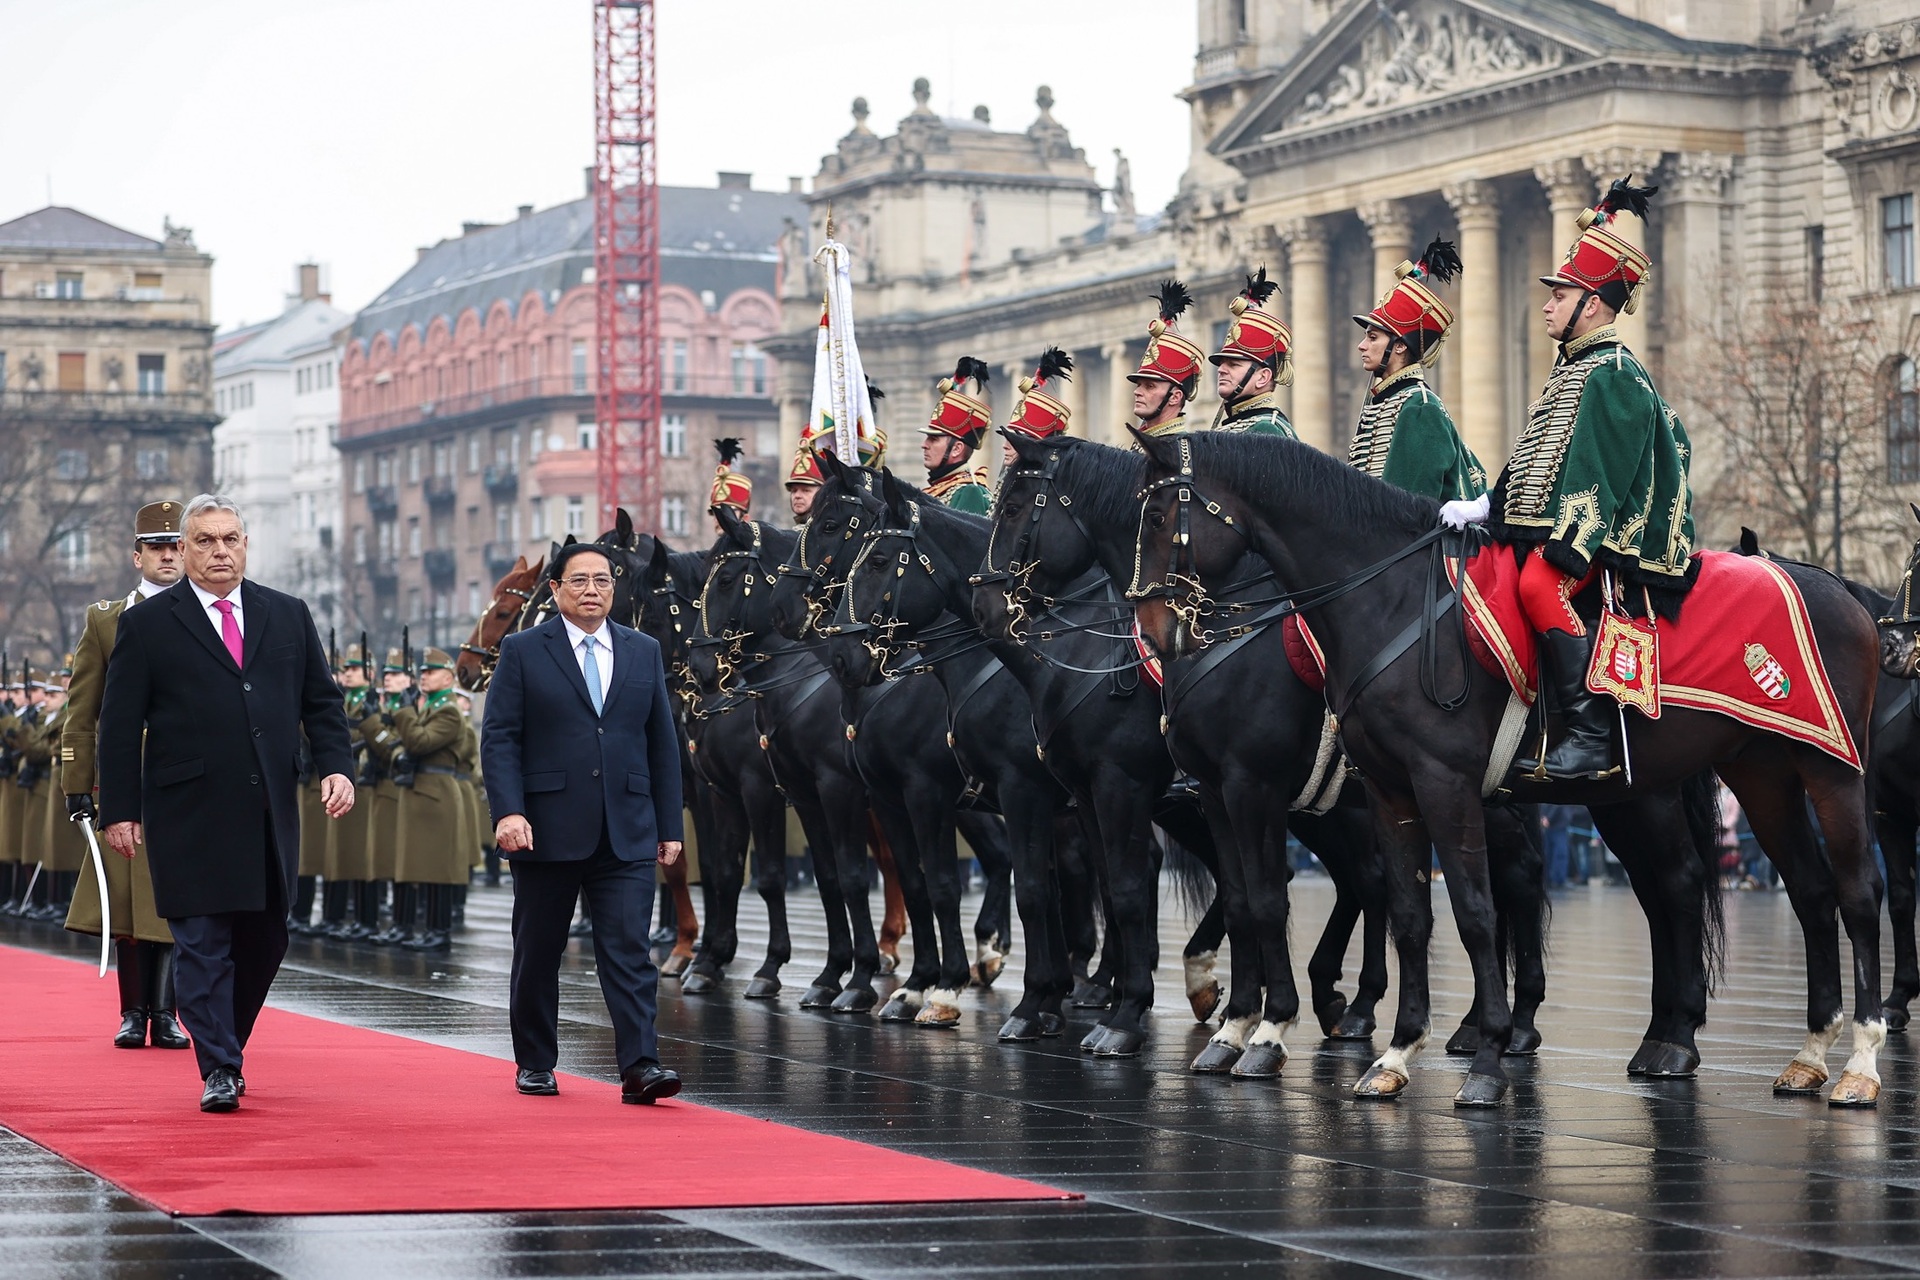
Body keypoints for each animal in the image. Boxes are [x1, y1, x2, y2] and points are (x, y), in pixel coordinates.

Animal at [1128, 433, 1881, 1113]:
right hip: (1744, 776)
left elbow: (1470, 912)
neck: (1386, 601)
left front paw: (1482, 1059)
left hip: (1828, 769)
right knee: (1781, 890)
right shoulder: (1382, 790)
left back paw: (1858, 1063)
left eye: (1160, 518)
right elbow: (1406, 914)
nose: (1161, 631)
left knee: (1853, 892)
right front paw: (1394, 1054)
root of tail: (1833, 582)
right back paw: (1778, 1051)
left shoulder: (1419, 783)